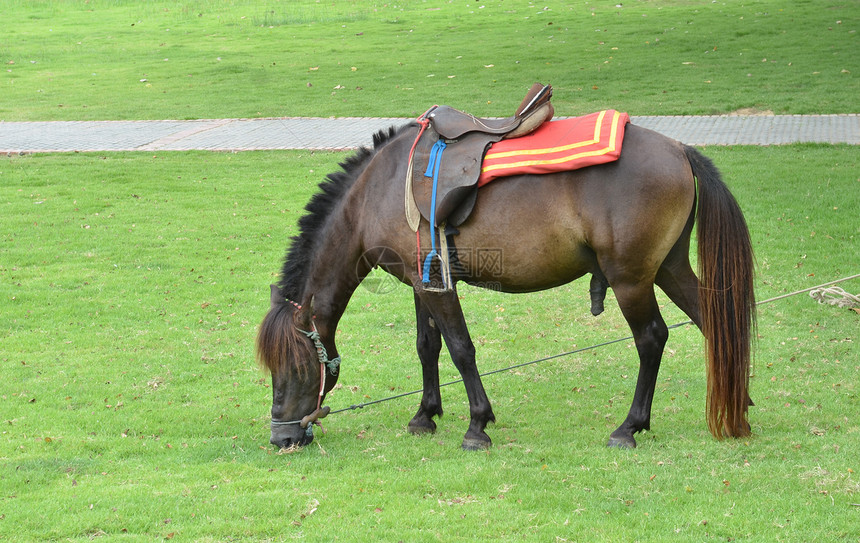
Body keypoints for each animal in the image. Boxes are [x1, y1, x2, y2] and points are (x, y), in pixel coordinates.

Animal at [254, 121, 752, 452]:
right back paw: (739, 401)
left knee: (651, 339)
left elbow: (460, 349)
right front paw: (425, 415)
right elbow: (427, 346)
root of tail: (680, 149)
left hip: (631, 278)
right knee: (712, 320)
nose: (282, 437)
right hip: (668, 268)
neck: (380, 190)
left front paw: (477, 425)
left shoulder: (437, 288)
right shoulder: (421, 283)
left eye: (295, 367)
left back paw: (629, 426)